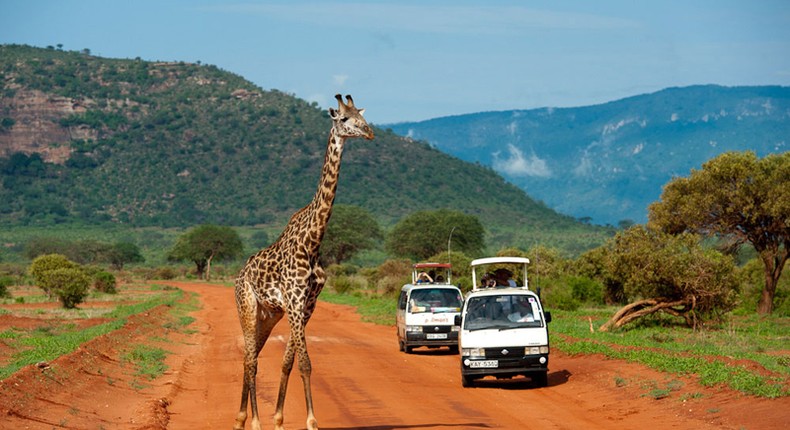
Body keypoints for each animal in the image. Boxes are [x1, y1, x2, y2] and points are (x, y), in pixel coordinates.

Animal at [232, 95, 374, 430]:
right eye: (344, 120)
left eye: (362, 117)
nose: (370, 133)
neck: (314, 240)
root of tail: (238, 275)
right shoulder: (295, 302)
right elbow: (306, 363)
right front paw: (311, 421)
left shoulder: (308, 304)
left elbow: (289, 361)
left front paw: (280, 418)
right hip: (247, 305)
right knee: (251, 359)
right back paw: (251, 421)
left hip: (269, 314)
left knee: (250, 355)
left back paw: (243, 418)